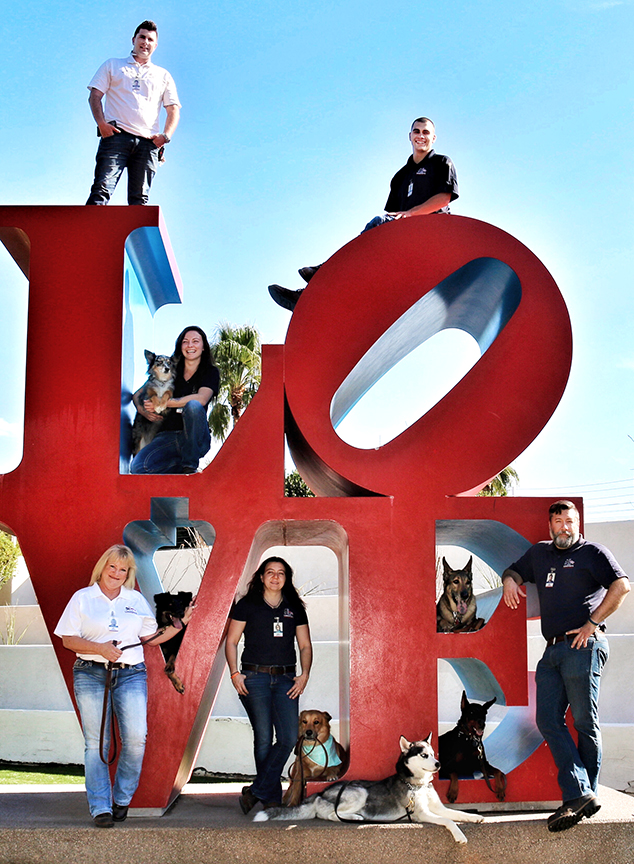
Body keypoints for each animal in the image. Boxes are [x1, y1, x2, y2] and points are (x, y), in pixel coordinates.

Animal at [254, 736, 482, 844]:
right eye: (424, 755)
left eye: (434, 754)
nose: (438, 764)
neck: (418, 784)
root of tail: (320, 792)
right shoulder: (422, 814)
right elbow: (449, 821)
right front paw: (460, 835)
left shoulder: (439, 808)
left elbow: (458, 813)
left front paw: (476, 817)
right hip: (360, 793)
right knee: (331, 815)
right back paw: (355, 817)